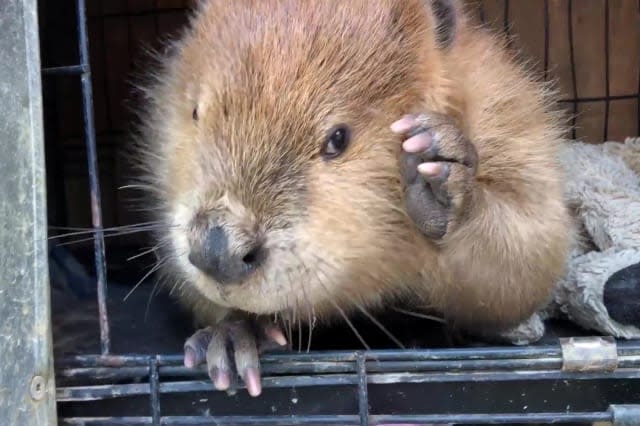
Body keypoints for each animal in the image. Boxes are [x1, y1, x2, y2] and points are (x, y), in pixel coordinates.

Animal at [134, 0, 568, 396]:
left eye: (338, 138)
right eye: (195, 111)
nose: (218, 250)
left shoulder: (506, 116)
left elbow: (529, 257)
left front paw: (437, 162)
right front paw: (235, 338)